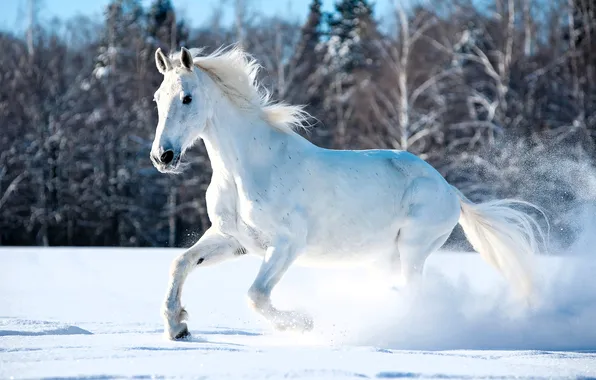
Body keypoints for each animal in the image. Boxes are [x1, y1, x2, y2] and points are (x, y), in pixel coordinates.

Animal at [150, 46, 544, 340]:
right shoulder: (234, 239)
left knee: (414, 293)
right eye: (157, 98)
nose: (162, 156)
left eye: (187, 98)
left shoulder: (287, 243)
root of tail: (449, 189)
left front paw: (303, 323)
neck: (246, 168)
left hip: (413, 249)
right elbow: (180, 263)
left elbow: (256, 296)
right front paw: (178, 327)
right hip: (386, 256)